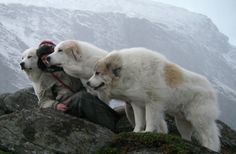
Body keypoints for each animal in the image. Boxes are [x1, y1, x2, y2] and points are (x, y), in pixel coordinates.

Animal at [87, 47, 221, 152]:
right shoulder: (137, 103)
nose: (88, 83)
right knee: (187, 136)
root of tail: (211, 90)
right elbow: (139, 121)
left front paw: (147, 132)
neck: (130, 72)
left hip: (199, 119)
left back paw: (209, 148)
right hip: (182, 121)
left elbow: (150, 120)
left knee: (209, 137)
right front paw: (136, 132)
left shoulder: (153, 104)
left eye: (97, 73)